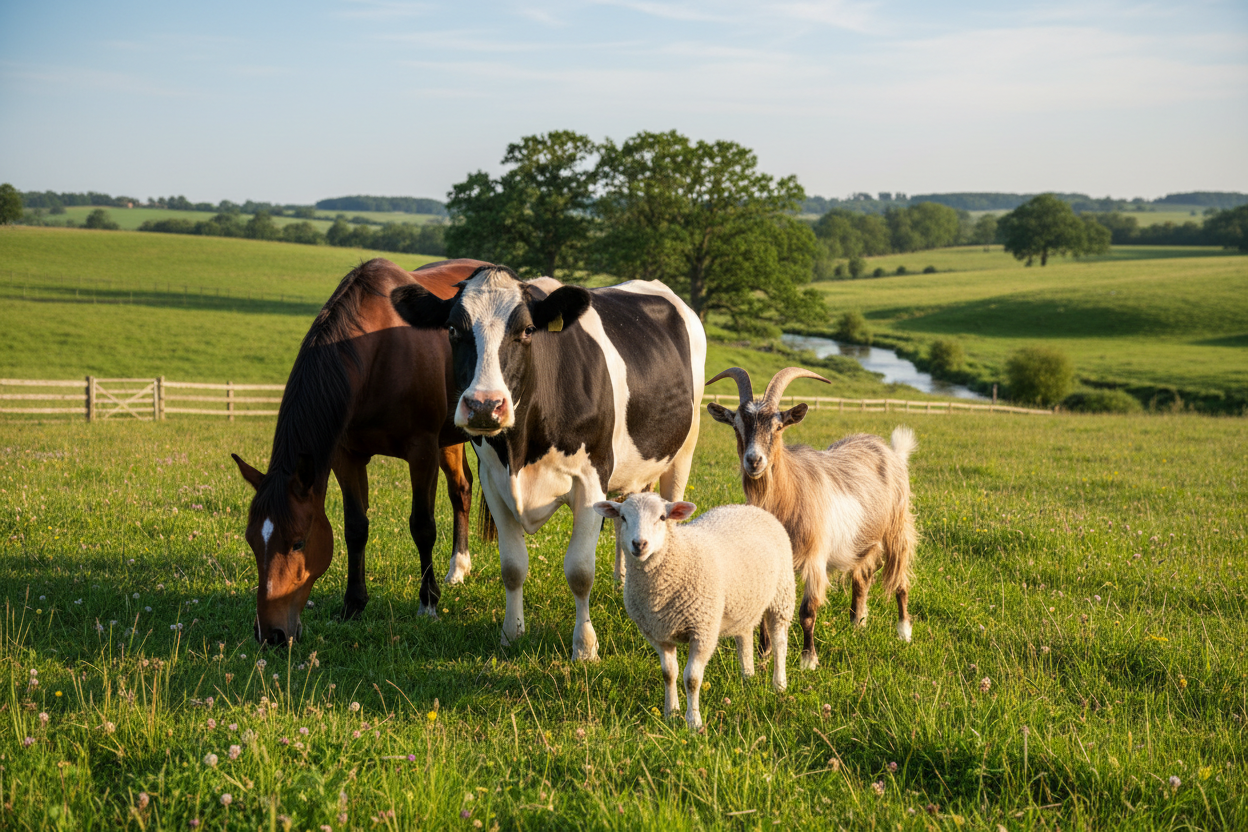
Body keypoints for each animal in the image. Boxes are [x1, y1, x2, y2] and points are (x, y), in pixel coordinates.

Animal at [232, 257, 489, 646]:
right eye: (251, 542)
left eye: (298, 543)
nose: (270, 634)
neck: (380, 350)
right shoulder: (346, 456)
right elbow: (355, 528)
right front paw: (353, 604)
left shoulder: (422, 451)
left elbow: (422, 526)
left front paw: (428, 603)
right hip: (451, 440)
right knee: (461, 489)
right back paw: (458, 567)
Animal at [391, 264, 706, 660]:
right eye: (451, 329)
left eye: (527, 330)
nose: (484, 405)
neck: (521, 451)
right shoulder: (493, 480)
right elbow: (512, 566)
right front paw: (511, 633)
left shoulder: (591, 480)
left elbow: (580, 571)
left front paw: (585, 647)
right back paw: (623, 579)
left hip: (683, 451)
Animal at [593, 492, 794, 732]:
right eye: (623, 517)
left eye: (662, 517)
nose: (639, 544)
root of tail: (750, 508)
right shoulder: (658, 634)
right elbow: (669, 674)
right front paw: (671, 713)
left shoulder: (702, 630)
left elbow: (692, 679)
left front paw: (693, 722)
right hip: (743, 602)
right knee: (744, 636)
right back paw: (748, 677)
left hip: (782, 594)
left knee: (780, 641)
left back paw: (779, 684)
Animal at [706, 366, 917, 671]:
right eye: (736, 425)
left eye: (778, 426)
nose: (754, 461)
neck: (789, 496)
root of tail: (890, 450)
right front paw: (763, 654)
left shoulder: (815, 558)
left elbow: (808, 612)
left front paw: (808, 660)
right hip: (863, 540)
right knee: (862, 577)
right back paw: (858, 622)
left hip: (897, 528)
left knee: (901, 580)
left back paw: (904, 631)